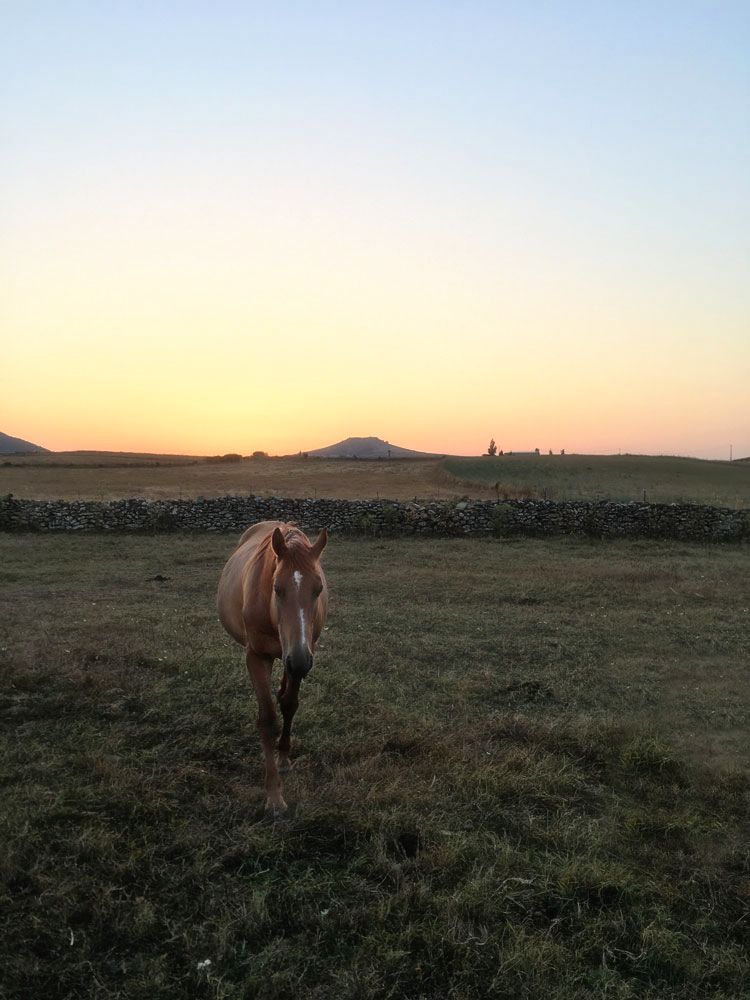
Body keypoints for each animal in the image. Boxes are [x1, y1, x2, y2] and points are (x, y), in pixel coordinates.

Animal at [217, 521, 328, 814]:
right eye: (277, 588)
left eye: (318, 589)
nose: (299, 660)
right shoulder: (257, 657)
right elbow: (267, 719)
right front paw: (274, 795)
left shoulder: (300, 654)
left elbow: (289, 704)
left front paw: (284, 758)